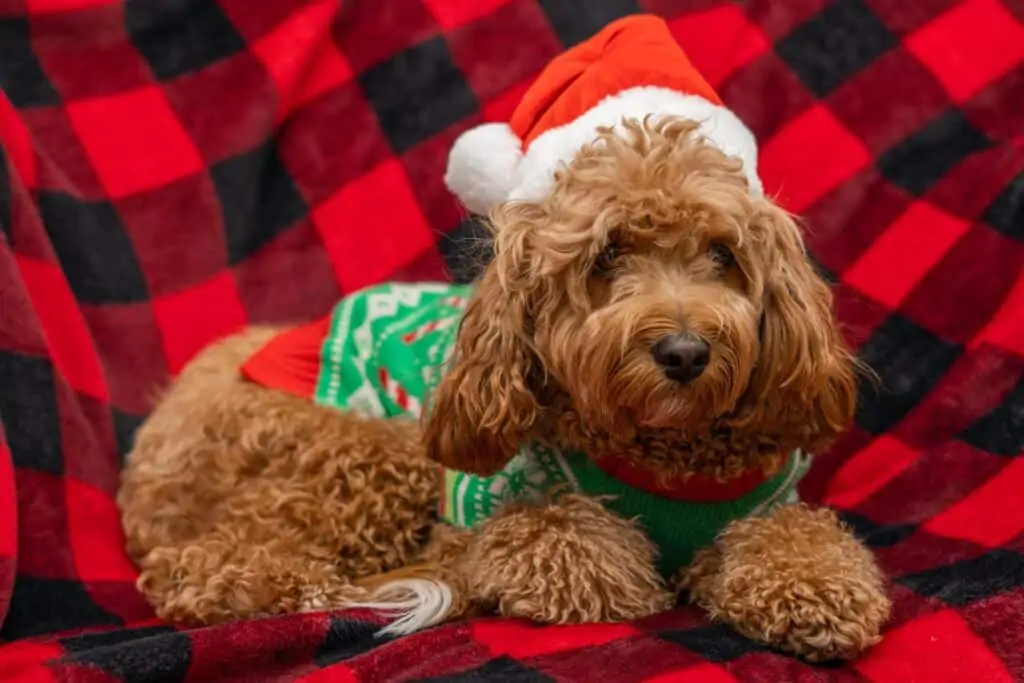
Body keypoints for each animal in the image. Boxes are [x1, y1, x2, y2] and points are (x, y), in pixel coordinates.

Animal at [119, 15, 888, 663]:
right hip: (376, 451)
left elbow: (799, 539)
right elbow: (564, 546)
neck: (666, 456)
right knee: (205, 562)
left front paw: (818, 592)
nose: (685, 354)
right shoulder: (483, 518)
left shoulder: (767, 507)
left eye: (723, 253)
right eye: (608, 253)